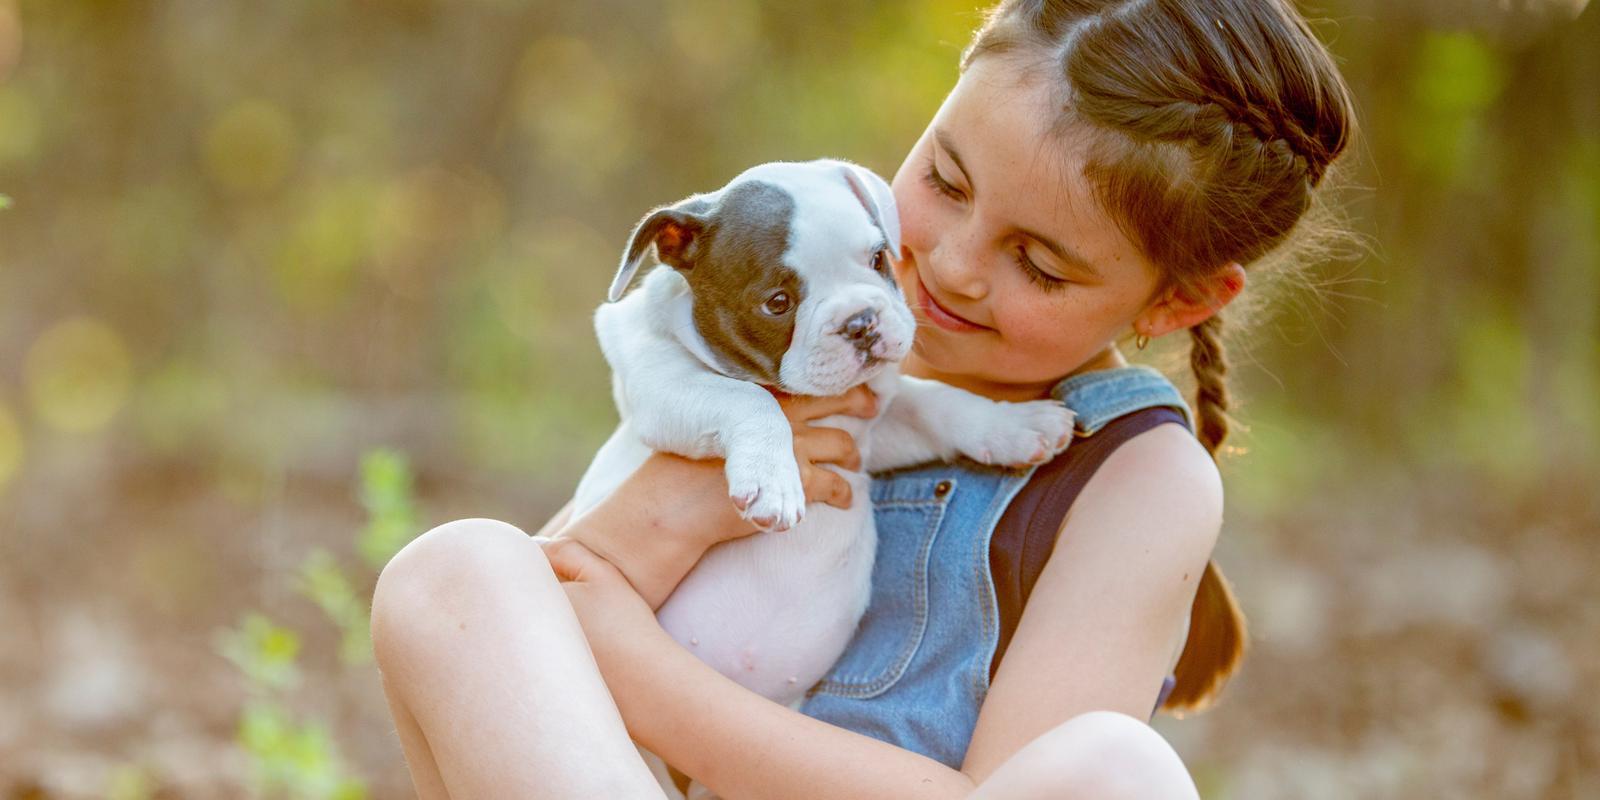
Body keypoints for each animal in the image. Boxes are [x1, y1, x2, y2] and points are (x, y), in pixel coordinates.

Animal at [569, 157, 1081, 720]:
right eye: (777, 303)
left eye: (879, 258)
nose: (861, 321)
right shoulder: (661, 386)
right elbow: (750, 400)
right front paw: (774, 483)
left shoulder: (871, 428)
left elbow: (938, 404)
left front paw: (1018, 424)